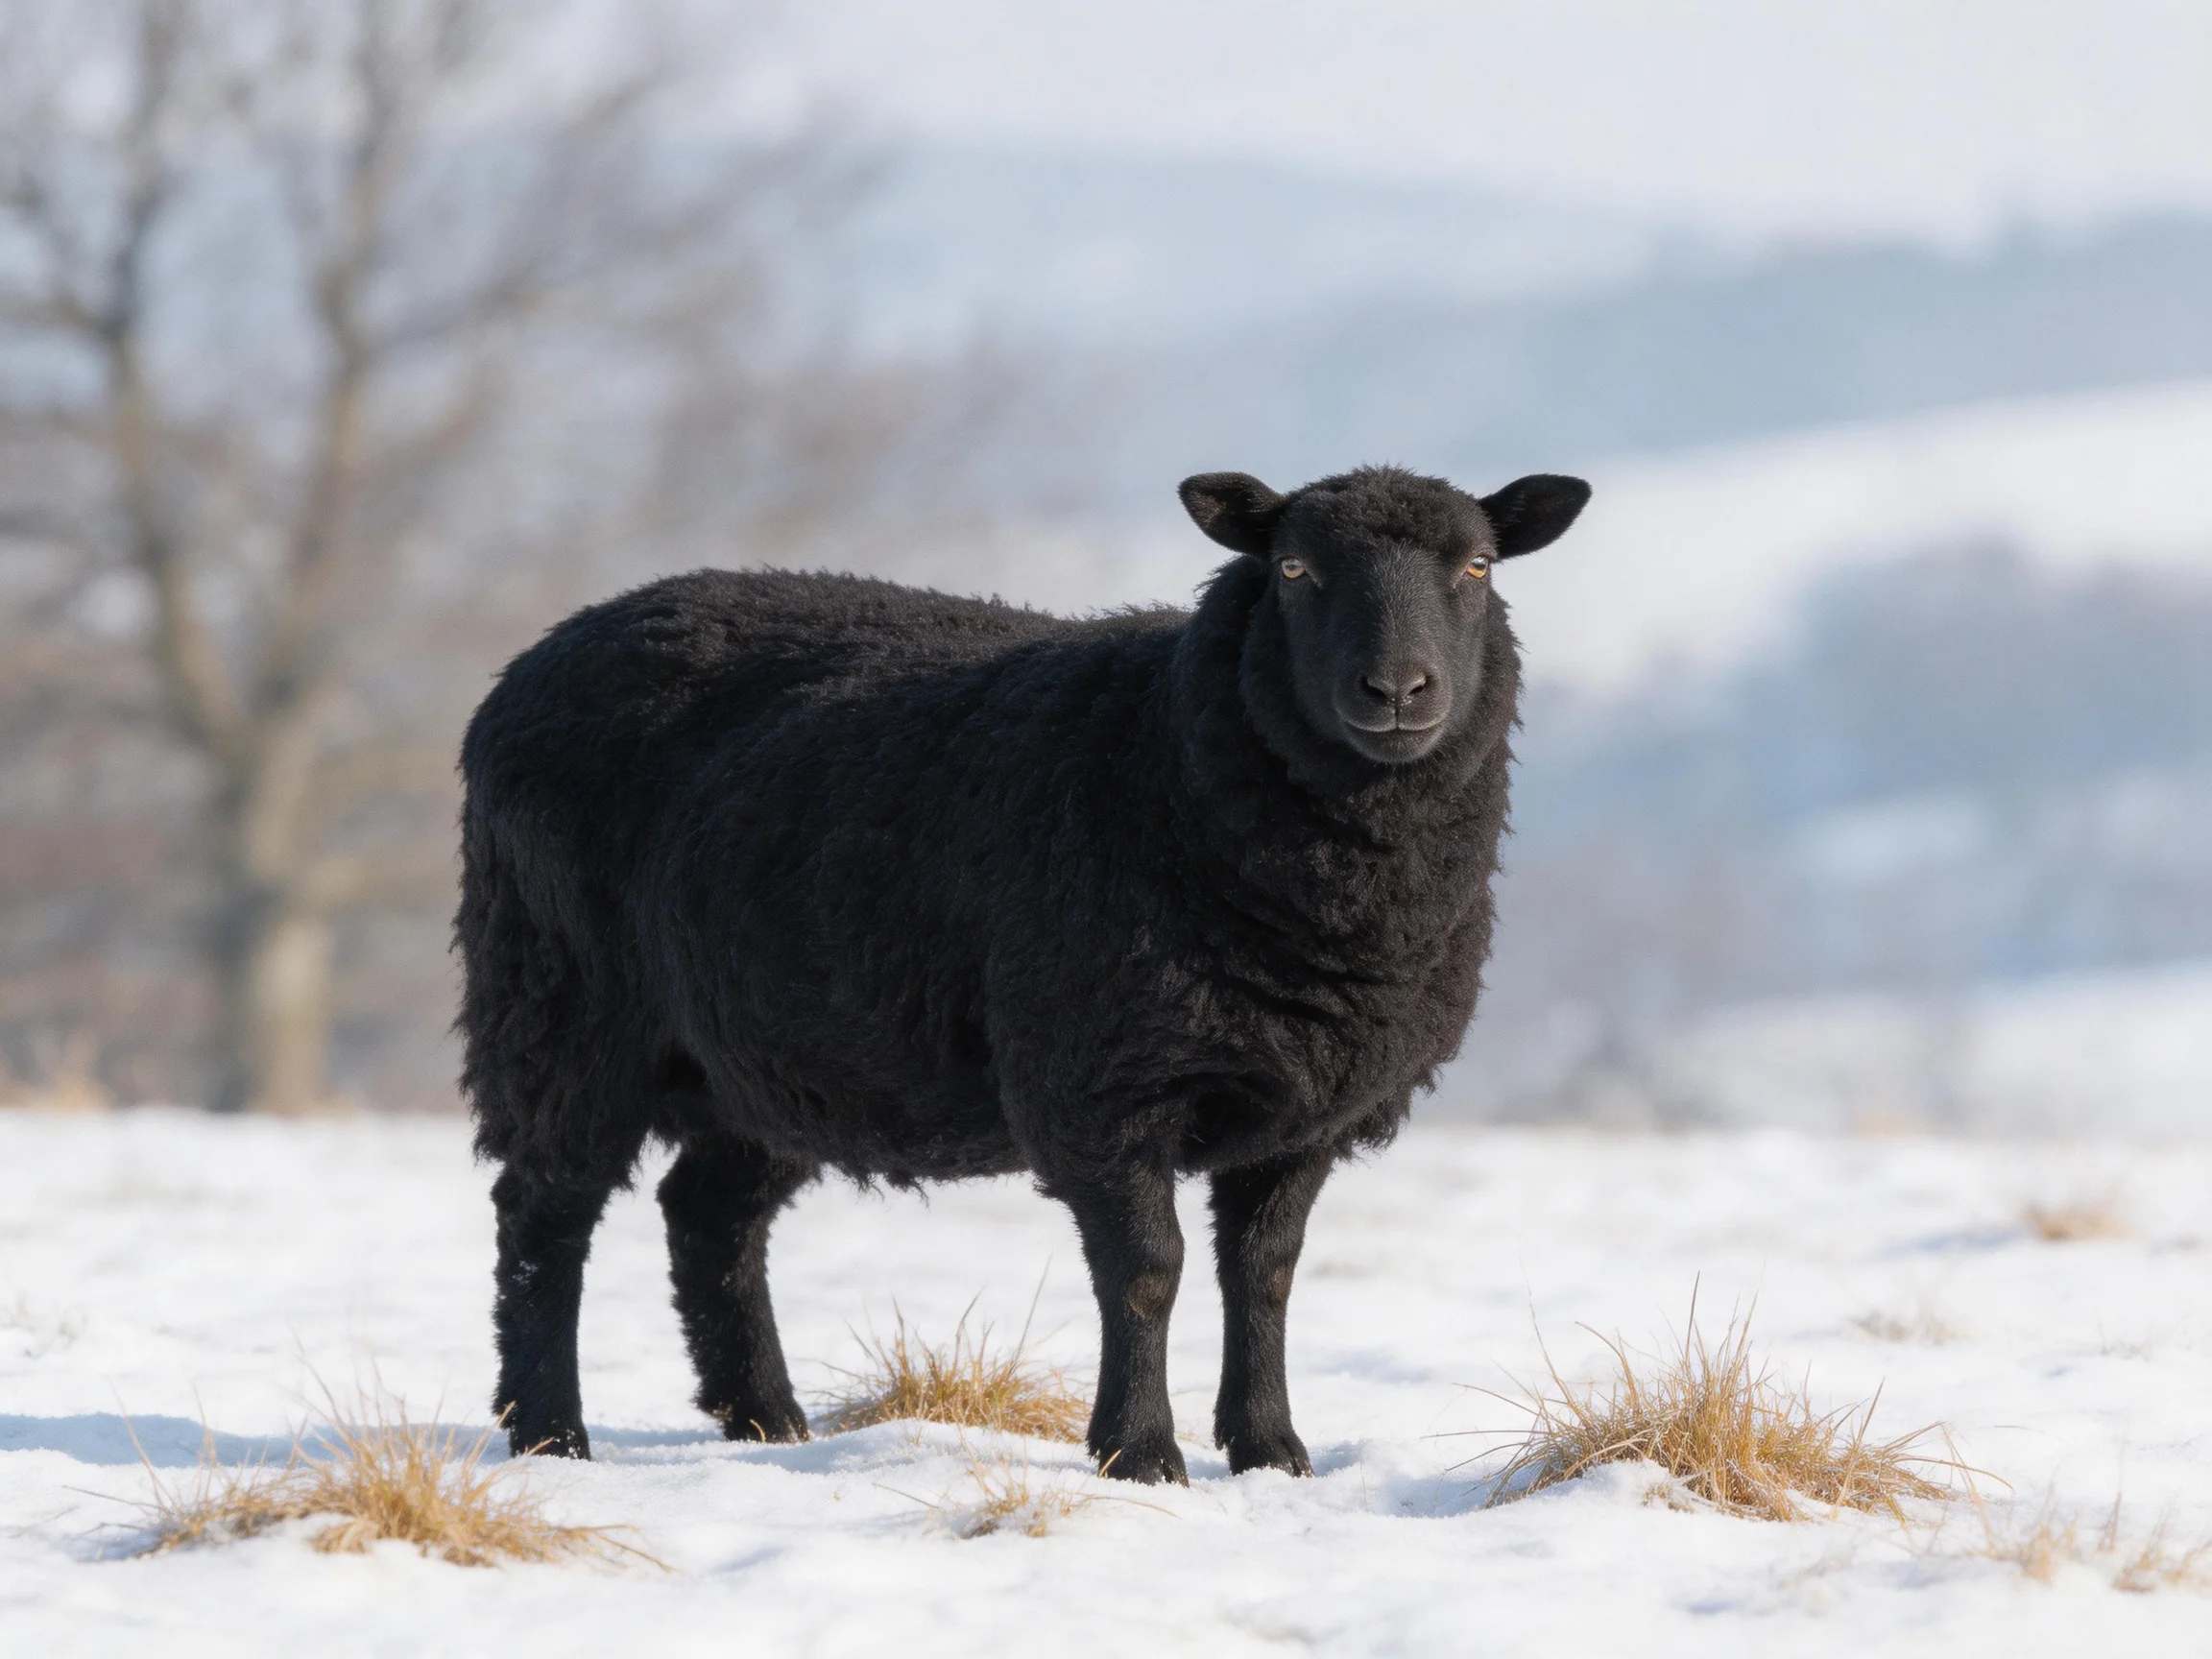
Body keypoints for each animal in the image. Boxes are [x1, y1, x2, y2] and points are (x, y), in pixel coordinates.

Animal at [455, 464, 1590, 1483]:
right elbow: (1148, 1273)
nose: (1397, 691)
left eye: (1478, 567)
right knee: (544, 1216)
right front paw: (1141, 1454)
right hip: (561, 1002)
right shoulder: (1101, 1080)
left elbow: (1264, 1276)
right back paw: (551, 1434)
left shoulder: (1308, 1106)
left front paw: (1272, 1452)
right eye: (1295, 568)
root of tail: (535, 659)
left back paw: (767, 1422)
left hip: (772, 1054)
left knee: (709, 1215)